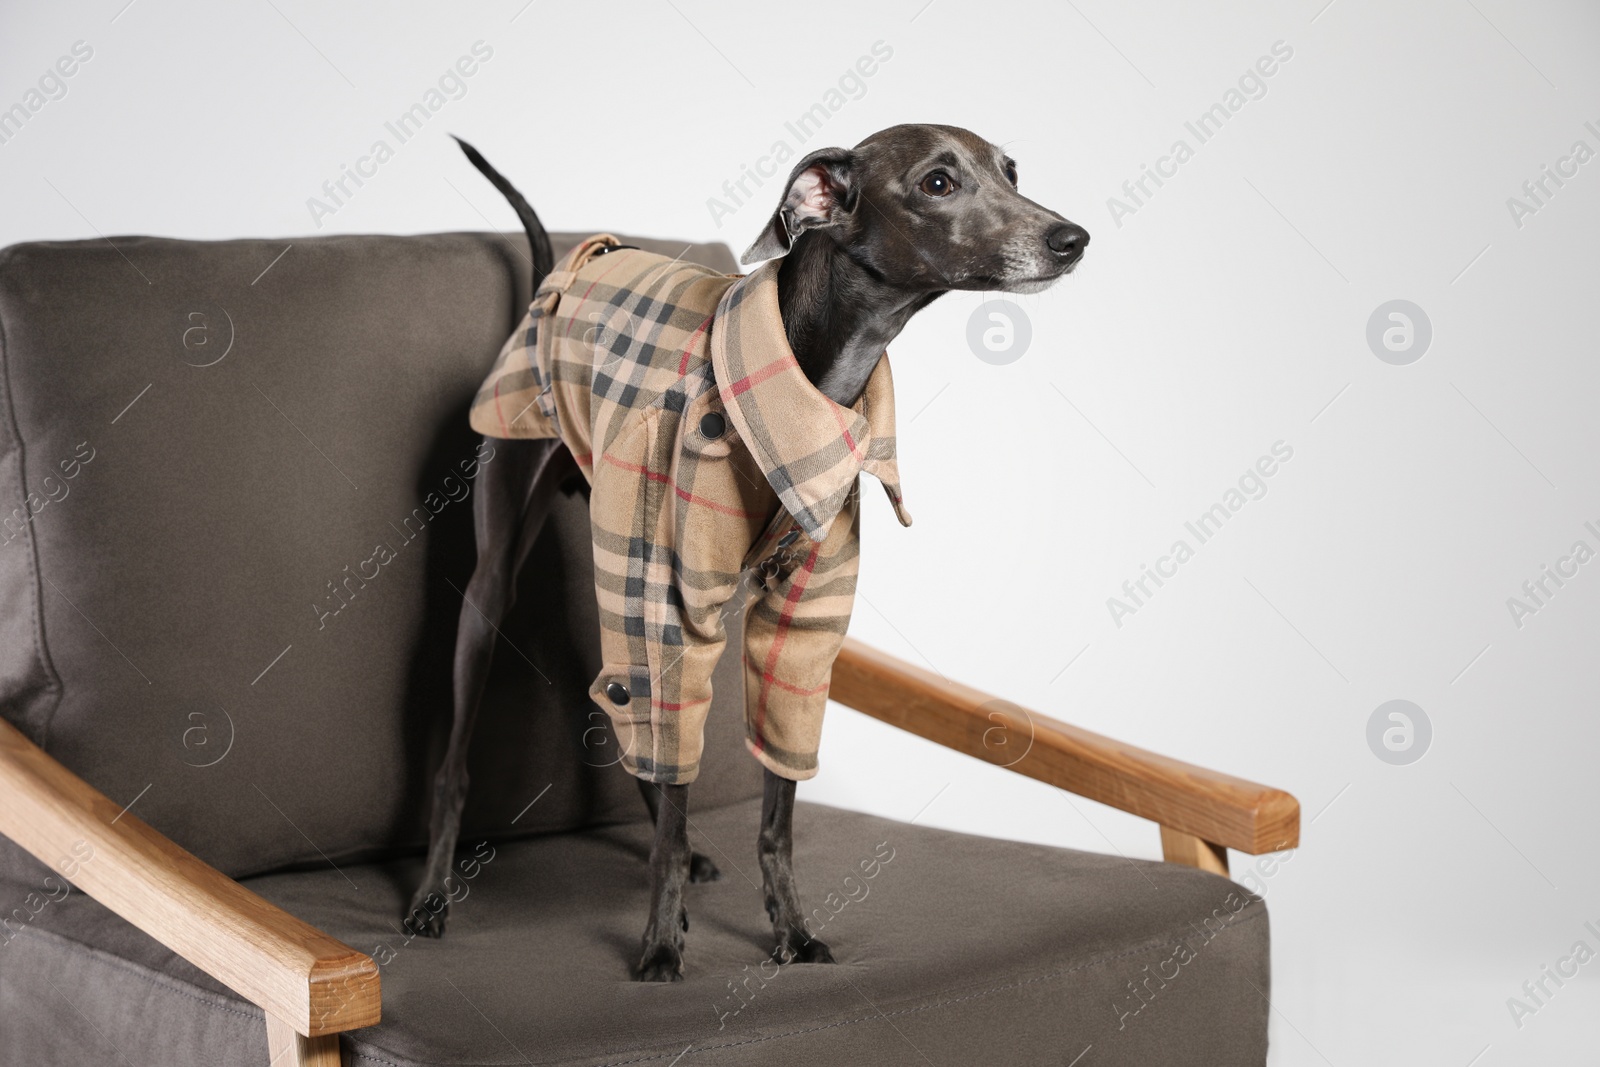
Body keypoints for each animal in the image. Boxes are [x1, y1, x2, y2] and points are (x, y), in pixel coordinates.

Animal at [409, 127, 1088, 985]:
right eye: (938, 182)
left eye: (1011, 171)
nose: (1072, 238)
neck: (810, 367)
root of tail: (557, 275)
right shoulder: (672, 603)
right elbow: (676, 788)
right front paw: (660, 944)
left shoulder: (799, 627)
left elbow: (773, 810)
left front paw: (791, 929)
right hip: (498, 574)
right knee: (464, 757)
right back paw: (432, 894)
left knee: (637, 723)